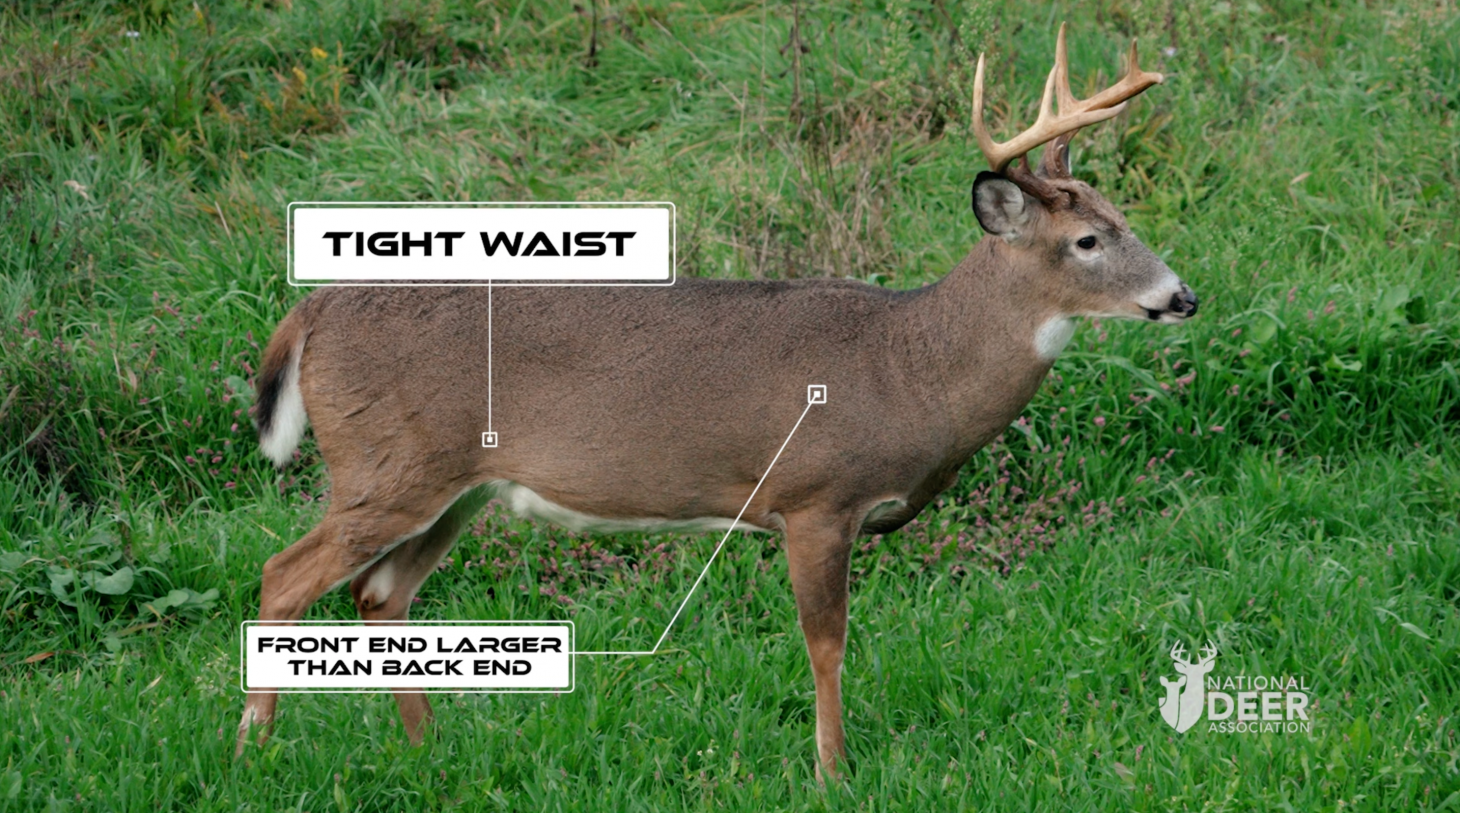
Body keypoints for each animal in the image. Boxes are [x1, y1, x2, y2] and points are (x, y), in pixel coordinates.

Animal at [236, 25, 1197, 778]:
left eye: (1124, 217)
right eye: (1088, 239)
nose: (1181, 296)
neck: (910, 365)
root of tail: (310, 312)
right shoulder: (814, 496)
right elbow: (825, 641)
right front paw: (833, 768)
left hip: (453, 485)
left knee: (380, 595)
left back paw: (425, 748)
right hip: (384, 464)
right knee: (283, 575)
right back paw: (255, 749)